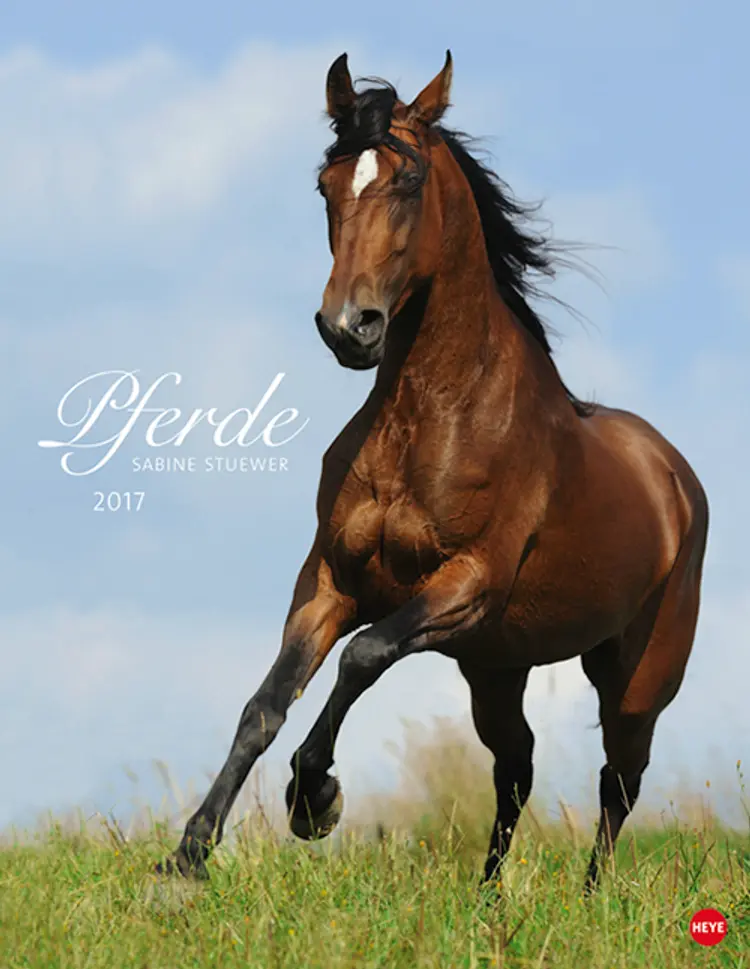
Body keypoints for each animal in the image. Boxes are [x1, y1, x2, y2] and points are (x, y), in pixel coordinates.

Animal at [159, 51, 709, 892]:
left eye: (410, 180)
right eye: (326, 184)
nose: (348, 327)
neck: (433, 421)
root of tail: (674, 477)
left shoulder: (464, 584)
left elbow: (362, 656)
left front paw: (313, 799)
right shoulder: (329, 579)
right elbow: (266, 702)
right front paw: (190, 851)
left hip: (638, 673)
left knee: (619, 778)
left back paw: (590, 896)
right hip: (497, 667)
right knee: (517, 766)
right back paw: (486, 898)